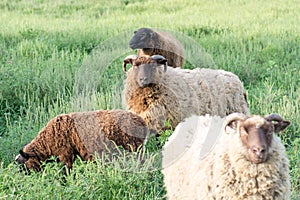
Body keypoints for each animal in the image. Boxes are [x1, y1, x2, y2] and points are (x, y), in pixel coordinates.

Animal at [14, 109, 149, 172]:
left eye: (23, 165)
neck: (47, 140)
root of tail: (142, 121)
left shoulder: (66, 153)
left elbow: (66, 170)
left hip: (134, 146)